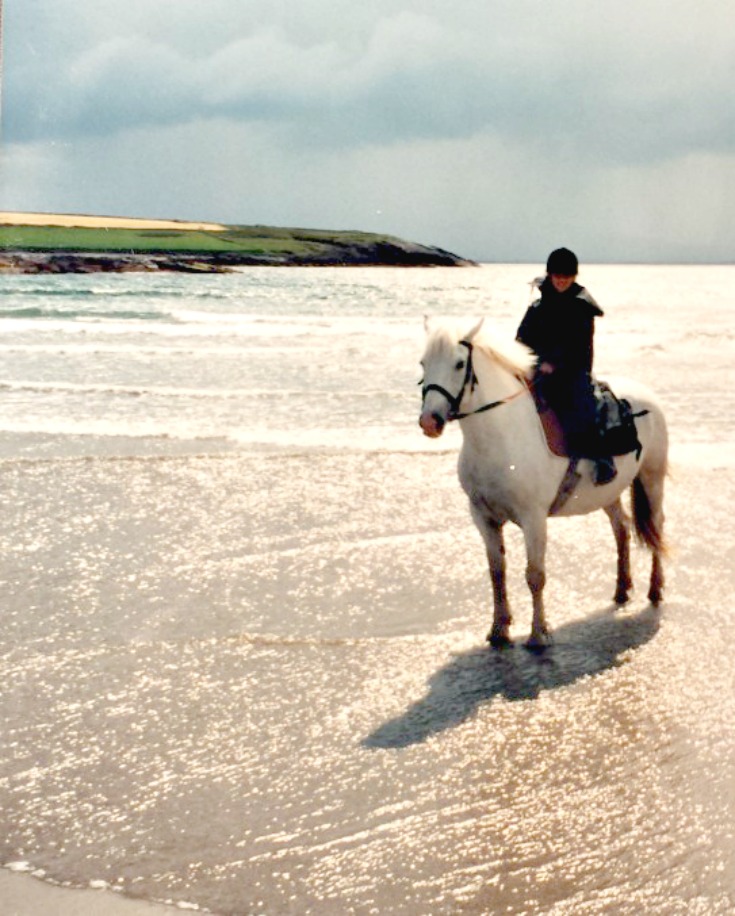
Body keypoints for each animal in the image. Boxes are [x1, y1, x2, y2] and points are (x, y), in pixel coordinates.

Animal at [420, 318, 668, 648]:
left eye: (460, 363)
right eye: (423, 363)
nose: (429, 421)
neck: (500, 437)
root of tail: (647, 395)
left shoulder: (534, 518)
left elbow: (535, 575)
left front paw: (539, 633)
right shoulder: (483, 517)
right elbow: (496, 572)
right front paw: (499, 629)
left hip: (653, 480)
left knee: (656, 527)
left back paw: (655, 589)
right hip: (609, 494)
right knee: (621, 528)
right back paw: (622, 589)